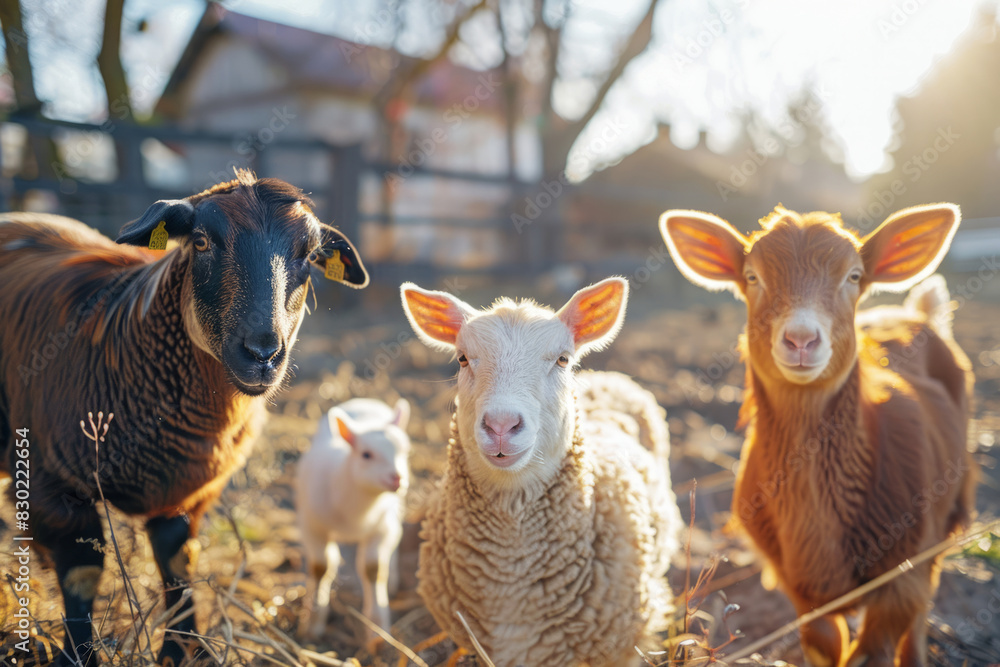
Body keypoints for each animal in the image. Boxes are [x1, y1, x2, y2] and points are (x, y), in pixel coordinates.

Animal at [0, 170, 368, 666]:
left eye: (309, 256)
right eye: (200, 241)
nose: (262, 354)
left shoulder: (187, 496)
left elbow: (178, 567)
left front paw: (182, 650)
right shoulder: (54, 488)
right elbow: (82, 577)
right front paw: (79, 656)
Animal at [660, 204, 976, 667]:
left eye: (855, 276)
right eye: (751, 276)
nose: (801, 339)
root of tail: (912, 313)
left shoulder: (904, 572)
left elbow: (878, 645)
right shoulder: (799, 587)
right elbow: (827, 643)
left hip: (947, 510)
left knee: (922, 608)